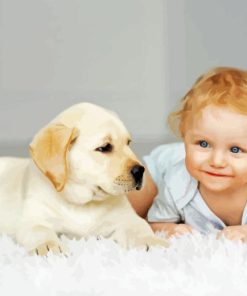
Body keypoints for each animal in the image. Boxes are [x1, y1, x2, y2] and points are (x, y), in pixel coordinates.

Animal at [0, 102, 169, 254]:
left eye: (128, 143)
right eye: (104, 148)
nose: (140, 171)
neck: (83, 203)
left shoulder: (127, 218)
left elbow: (140, 227)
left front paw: (153, 242)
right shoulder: (32, 219)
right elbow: (40, 230)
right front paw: (49, 247)